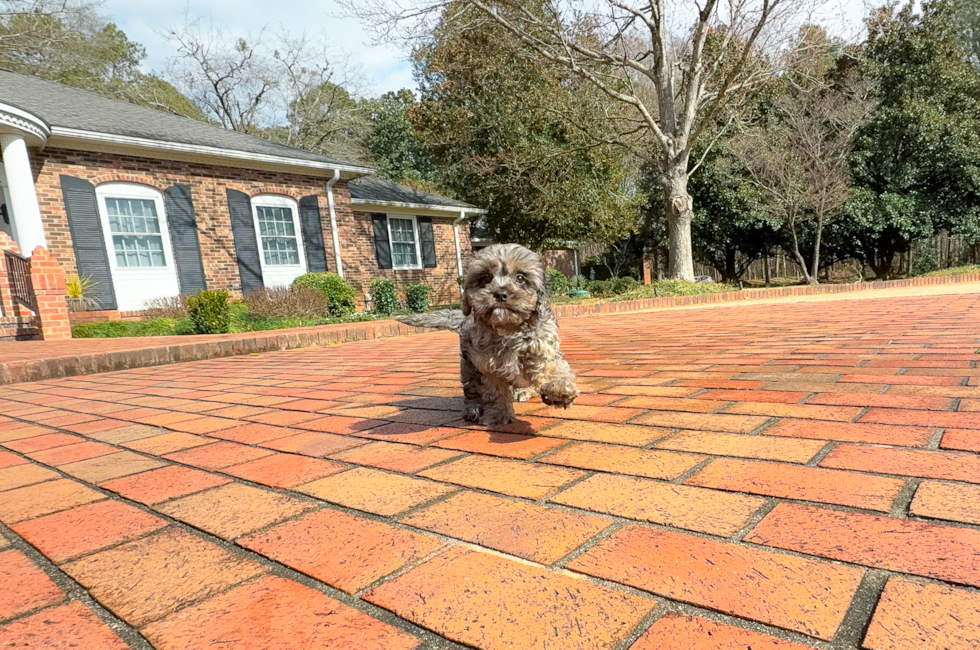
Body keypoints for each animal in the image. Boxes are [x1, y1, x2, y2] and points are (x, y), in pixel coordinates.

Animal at [398, 243, 580, 426]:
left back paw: (525, 390)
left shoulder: (542, 346)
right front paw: (499, 416)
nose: (500, 293)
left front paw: (559, 391)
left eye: (521, 277)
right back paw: (473, 409)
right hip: (468, 365)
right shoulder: (486, 364)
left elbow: (554, 367)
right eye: (485, 278)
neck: (508, 329)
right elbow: (494, 392)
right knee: (471, 389)